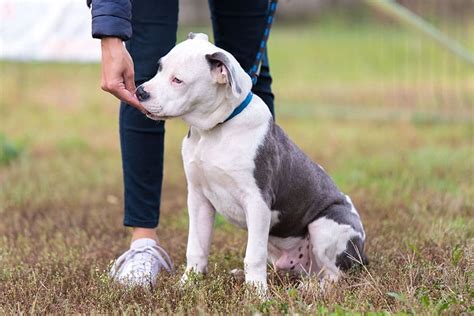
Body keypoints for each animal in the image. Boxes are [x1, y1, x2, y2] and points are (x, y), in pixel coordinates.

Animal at [135, 33, 368, 292]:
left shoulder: (258, 201)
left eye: (178, 80)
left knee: (335, 276)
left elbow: (253, 254)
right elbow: (196, 248)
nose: (140, 92)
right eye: (159, 67)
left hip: (326, 225)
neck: (215, 129)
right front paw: (187, 284)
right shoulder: (197, 198)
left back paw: (309, 289)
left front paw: (257, 294)